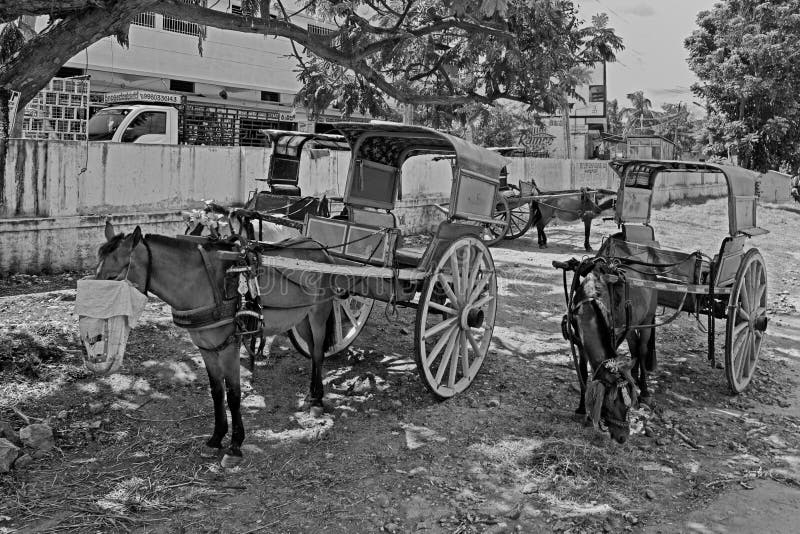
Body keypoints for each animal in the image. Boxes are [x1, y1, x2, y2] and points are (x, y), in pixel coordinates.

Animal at [97, 220, 338, 466]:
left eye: (112, 277)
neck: (201, 283)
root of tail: (320, 247)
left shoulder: (229, 346)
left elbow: (233, 395)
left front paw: (235, 445)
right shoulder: (207, 348)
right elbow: (216, 391)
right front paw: (216, 438)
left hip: (319, 313)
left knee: (318, 352)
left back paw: (318, 400)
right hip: (301, 318)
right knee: (312, 350)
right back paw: (311, 394)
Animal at [556, 258, 656, 446]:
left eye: (627, 405)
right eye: (610, 403)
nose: (623, 438)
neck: (590, 302)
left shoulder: (613, 335)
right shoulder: (579, 343)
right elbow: (583, 373)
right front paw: (582, 409)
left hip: (647, 321)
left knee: (642, 350)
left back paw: (645, 391)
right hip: (630, 326)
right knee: (634, 348)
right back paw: (634, 376)